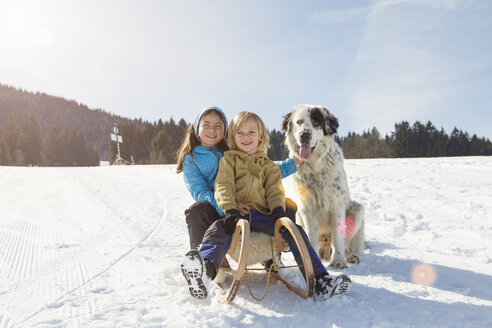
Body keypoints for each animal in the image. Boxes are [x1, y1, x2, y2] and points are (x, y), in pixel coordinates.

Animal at [280, 104, 366, 268]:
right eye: (299, 122)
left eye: (316, 122)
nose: (304, 135)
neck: (315, 167)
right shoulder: (306, 208)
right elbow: (310, 236)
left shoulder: (337, 206)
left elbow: (338, 238)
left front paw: (338, 260)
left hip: (357, 209)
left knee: (351, 243)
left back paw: (351, 256)